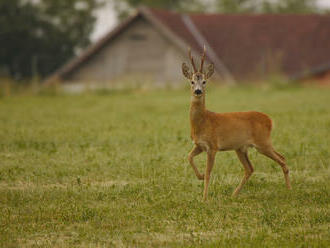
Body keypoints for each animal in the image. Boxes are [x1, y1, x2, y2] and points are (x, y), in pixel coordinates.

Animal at [182, 46, 292, 202]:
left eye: (204, 81)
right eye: (192, 81)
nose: (198, 91)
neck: (202, 122)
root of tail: (269, 120)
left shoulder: (213, 146)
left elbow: (209, 172)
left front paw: (204, 198)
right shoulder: (199, 145)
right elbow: (189, 157)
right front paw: (200, 177)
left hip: (262, 142)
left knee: (281, 158)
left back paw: (289, 190)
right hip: (241, 148)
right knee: (250, 168)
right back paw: (234, 194)